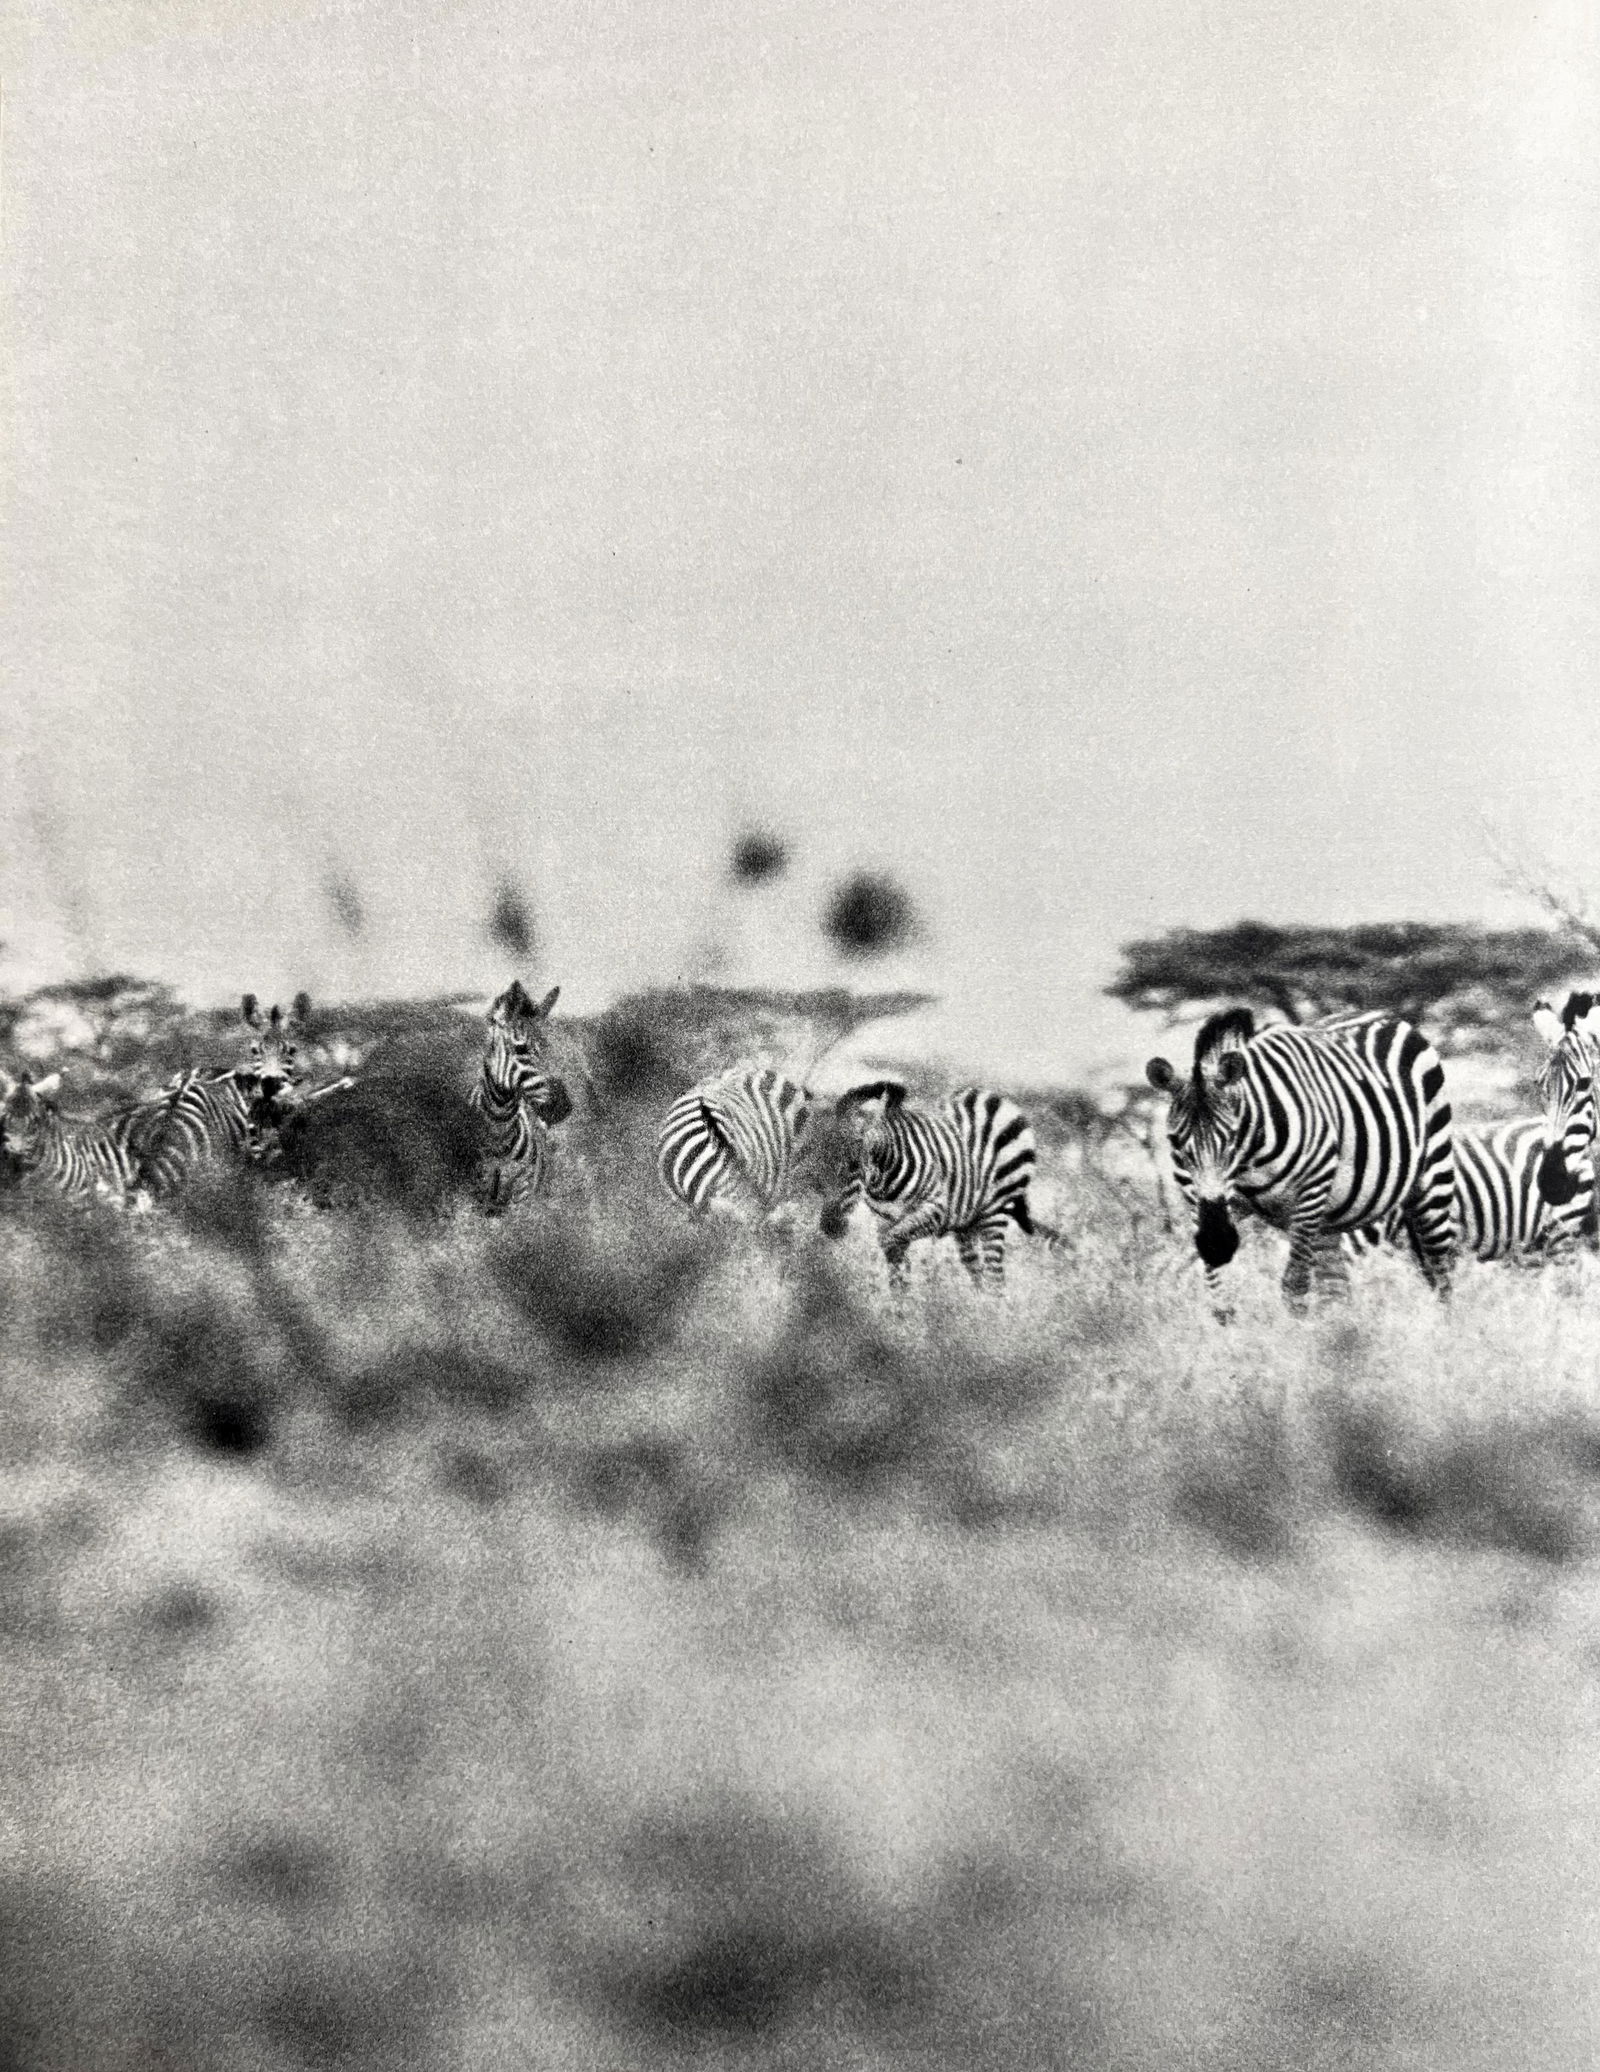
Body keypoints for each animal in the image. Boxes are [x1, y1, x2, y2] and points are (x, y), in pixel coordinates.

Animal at [819, 1080, 1040, 1290]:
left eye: (854, 1166)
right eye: (818, 1162)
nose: (830, 1226)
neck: (883, 1183)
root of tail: (994, 1097)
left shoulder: (937, 1210)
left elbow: (891, 1244)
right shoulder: (884, 1220)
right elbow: (897, 1270)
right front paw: (901, 1302)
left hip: (996, 1213)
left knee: (996, 1279)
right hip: (966, 1225)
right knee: (979, 1274)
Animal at [1145, 1008, 1456, 1318]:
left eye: (1233, 1136)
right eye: (1174, 1140)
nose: (1218, 1243)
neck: (1247, 1159)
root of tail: (1381, 1014)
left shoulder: (1310, 1190)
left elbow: (1294, 1284)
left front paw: (1297, 1332)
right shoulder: (1200, 1200)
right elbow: (1216, 1289)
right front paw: (1226, 1322)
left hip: (1431, 1179)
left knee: (1440, 1268)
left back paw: (1444, 1324)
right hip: (1330, 1216)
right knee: (1335, 1284)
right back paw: (1341, 1326)